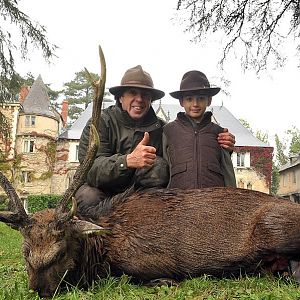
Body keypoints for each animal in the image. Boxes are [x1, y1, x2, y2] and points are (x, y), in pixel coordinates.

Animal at [0, 47, 300, 298]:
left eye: (60, 250)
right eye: (26, 252)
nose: (39, 291)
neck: (104, 245)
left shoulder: (150, 261)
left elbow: (134, 277)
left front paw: (166, 282)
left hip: (276, 228)